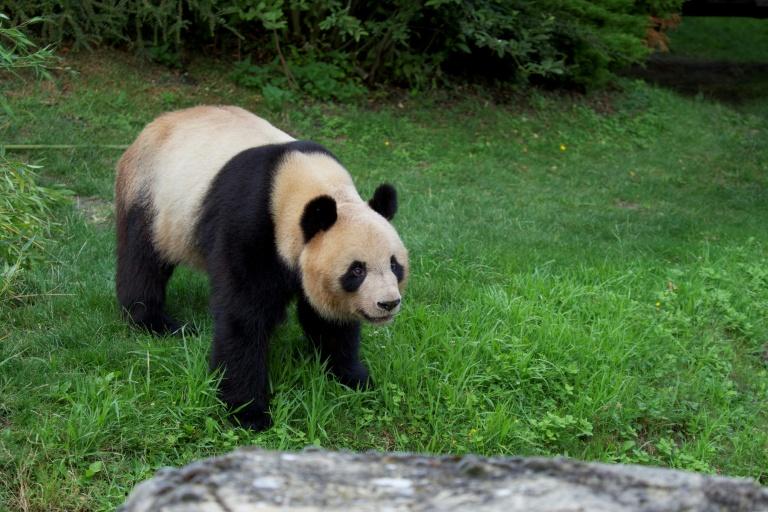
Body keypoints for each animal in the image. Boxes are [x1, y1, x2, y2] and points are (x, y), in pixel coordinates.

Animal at [115, 105, 408, 431]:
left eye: (394, 265)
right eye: (357, 270)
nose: (388, 303)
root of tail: (155, 125)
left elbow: (327, 318)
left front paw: (354, 378)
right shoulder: (251, 223)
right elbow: (244, 316)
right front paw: (249, 412)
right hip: (153, 196)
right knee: (143, 260)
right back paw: (155, 322)